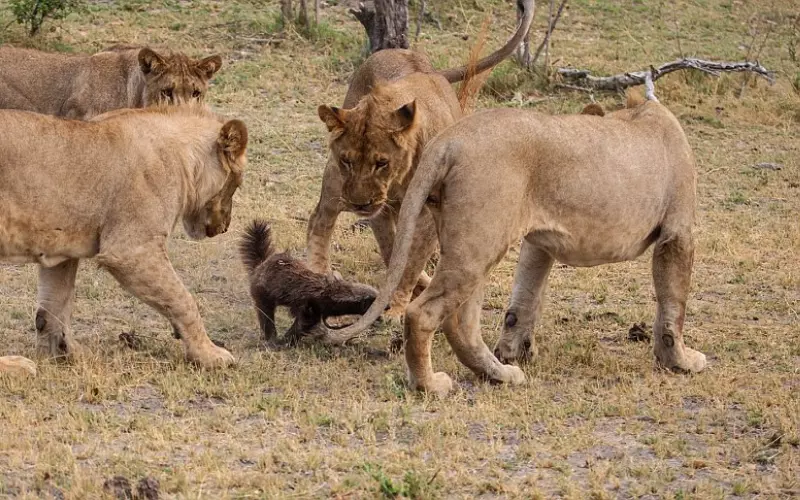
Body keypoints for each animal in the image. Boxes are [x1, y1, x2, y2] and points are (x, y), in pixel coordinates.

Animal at [0, 103, 247, 368]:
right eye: (236, 183)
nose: (225, 227)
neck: (185, 162)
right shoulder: (131, 251)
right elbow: (184, 300)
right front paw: (209, 354)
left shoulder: (61, 249)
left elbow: (54, 307)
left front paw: (65, 355)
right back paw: (16, 365)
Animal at [310, 0, 536, 324]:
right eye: (347, 161)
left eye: (382, 163)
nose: (359, 204)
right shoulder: (375, 205)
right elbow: (393, 250)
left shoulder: (426, 212)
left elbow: (409, 260)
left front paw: (397, 306)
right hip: (334, 182)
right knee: (320, 220)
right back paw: (316, 273)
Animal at [330, 94, 708, 394]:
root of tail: (449, 139)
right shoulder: (677, 232)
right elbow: (673, 306)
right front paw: (680, 361)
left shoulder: (540, 242)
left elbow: (524, 299)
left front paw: (515, 351)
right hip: (479, 243)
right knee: (423, 314)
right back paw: (430, 385)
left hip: (475, 243)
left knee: (461, 322)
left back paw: (500, 374)